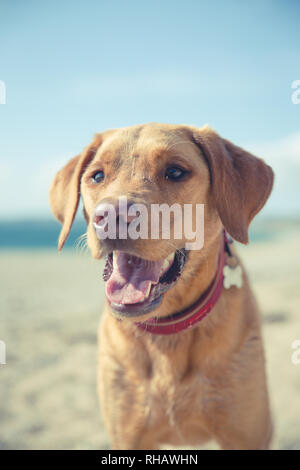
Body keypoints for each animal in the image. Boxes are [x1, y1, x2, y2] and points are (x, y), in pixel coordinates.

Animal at [49, 123, 274, 450]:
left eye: (175, 171)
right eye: (98, 176)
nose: (112, 216)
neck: (169, 330)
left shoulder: (247, 435)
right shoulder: (128, 437)